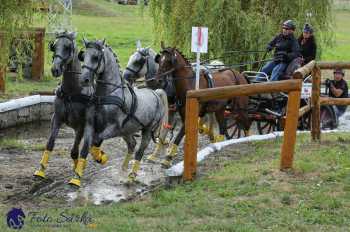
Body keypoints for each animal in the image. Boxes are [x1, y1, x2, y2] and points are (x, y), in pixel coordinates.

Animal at [34, 31, 108, 179]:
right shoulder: (57, 119)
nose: (55, 69)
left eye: (68, 47)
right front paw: (41, 169)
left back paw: (98, 157)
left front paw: (77, 171)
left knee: (94, 142)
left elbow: (74, 151)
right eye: (54, 46)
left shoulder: (81, 125)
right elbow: (50, 143)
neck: (71, 92)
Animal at [69, 38, 169, 187]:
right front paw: (76, 177)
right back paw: (123, 169)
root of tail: (156, 93)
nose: (84, 79)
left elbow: (96, 142)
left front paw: (101, 157)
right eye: (83, 56)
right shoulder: (90, 125)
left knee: (140, 152)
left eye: (96, 57)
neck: (107, 95)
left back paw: (131, 177)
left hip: (146, 129)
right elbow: (86, 148)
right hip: (127, 131)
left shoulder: (113, 128)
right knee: (132, 145)